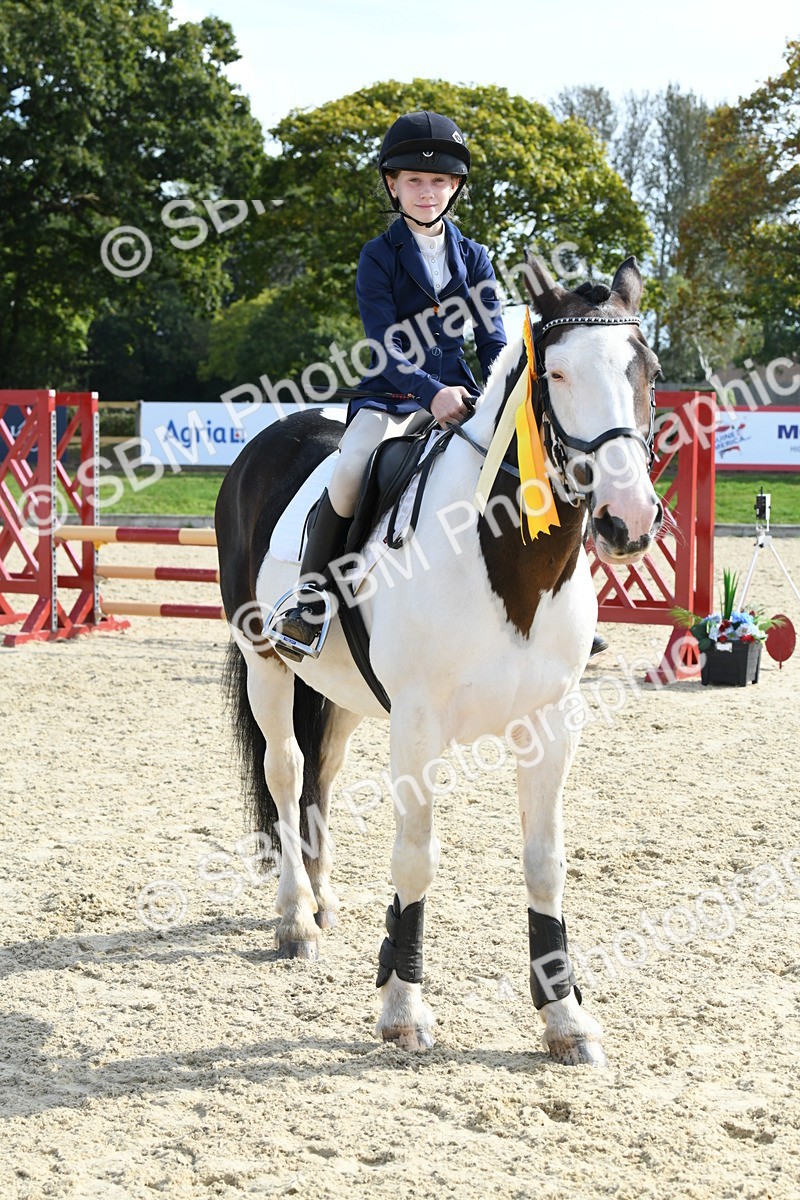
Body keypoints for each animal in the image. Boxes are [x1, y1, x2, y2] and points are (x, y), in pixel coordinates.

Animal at [214, 255, 663, 1066]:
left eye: (646, 370)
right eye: (555, 372)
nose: (629, 520)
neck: (508, 564)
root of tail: (271, 438)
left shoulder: (551, 724)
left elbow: (545, 863)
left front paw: (565, 1018)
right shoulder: (418, 727)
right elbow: (416, 858)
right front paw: (402, 1007)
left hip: (346, 695)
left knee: (322, 771)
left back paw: (323, 901)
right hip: (265, 660)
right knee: (286, 769)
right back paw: (295, 917)